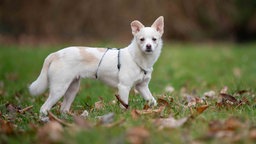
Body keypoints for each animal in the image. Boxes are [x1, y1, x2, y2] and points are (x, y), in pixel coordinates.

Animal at [28, 16, 164, 120]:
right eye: (141, 39)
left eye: (154, 39)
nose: (148, 46)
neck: (137, 58)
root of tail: (55, 54)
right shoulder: (124, 87)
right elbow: (124, 105)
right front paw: (124, 116)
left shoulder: (142, 87)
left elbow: (152, 101)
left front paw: (158, 111)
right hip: (59, 89)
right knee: (44, 108)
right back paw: (45, 120)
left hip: (72, 89)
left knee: (63, 109)